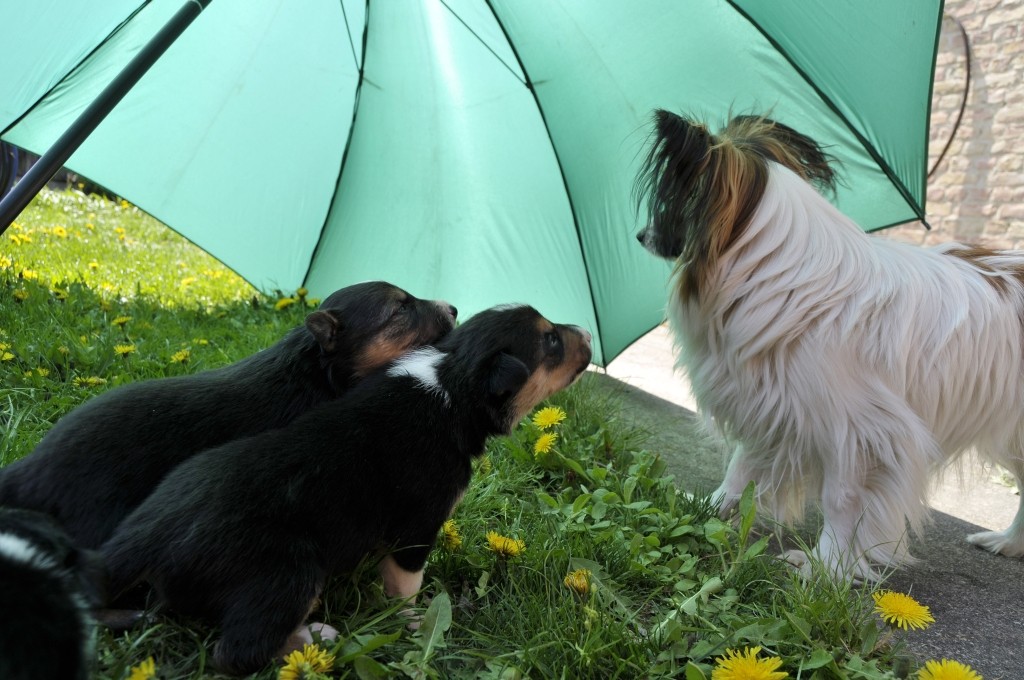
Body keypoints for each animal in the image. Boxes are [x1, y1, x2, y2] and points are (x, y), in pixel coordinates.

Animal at [101, 305, 593, 675]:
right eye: (551, 341)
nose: (587, 330)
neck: (451, 382)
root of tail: (147, 535)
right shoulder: (419, 523)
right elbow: (407, 582)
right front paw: (414, 620)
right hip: (289, 573)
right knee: (236, 653)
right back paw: (315, 638)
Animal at [634, 111, 1019, 577]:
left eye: (678, 200)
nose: (639, 236)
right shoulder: (773, 404)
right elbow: (740, 468)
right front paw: (708, 510)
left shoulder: (860, 432)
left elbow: (840, 500)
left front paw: (827, 567)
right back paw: (1010, 543)